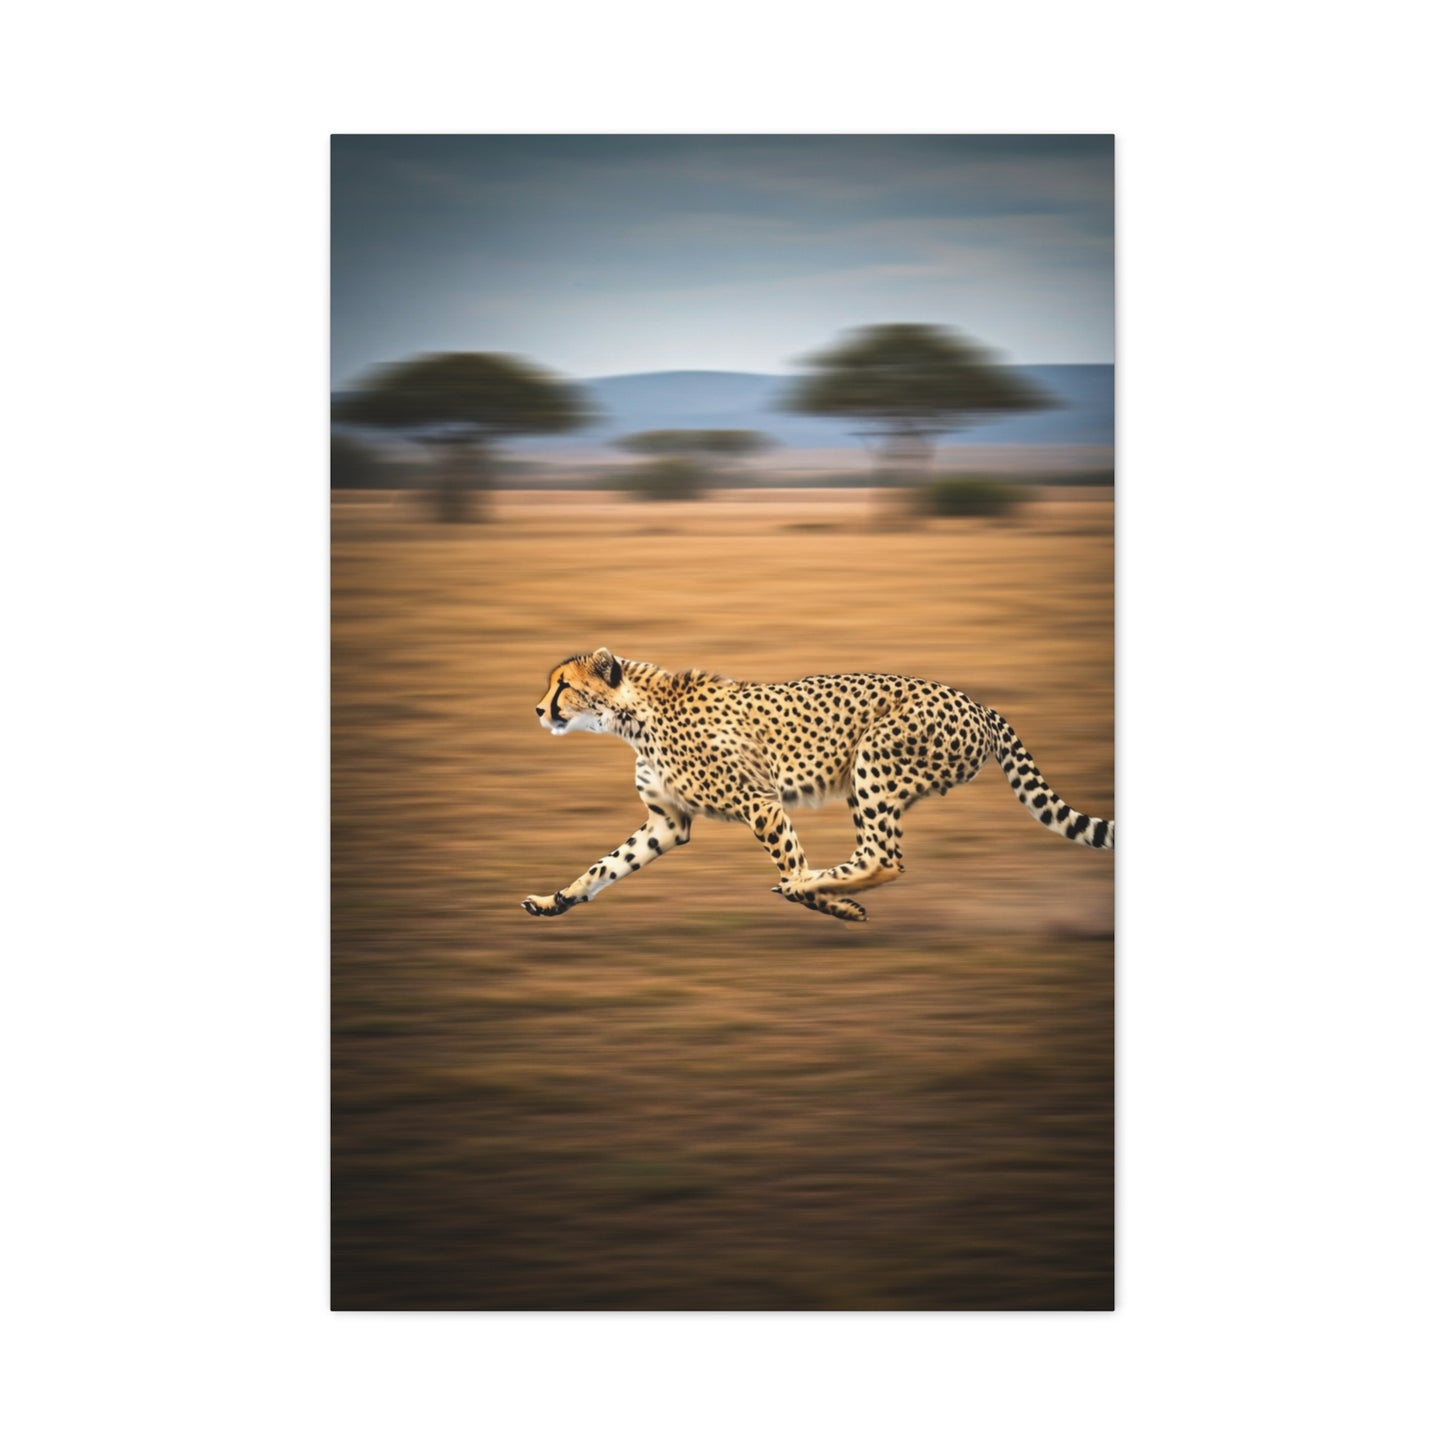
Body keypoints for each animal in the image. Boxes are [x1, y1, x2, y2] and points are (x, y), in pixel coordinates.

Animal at [520, 647, 1113, 924]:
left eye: (564, 686)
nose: (538, 710)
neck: (635, 715)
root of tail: (976, 701)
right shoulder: (668, 822)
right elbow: (606, 865)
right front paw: (555, 900)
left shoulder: (759, 803)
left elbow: (788, 859)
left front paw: (825, 901)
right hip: (866, 778)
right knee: (878, 854)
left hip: (873, 759)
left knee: (884, 858)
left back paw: (813, 886)